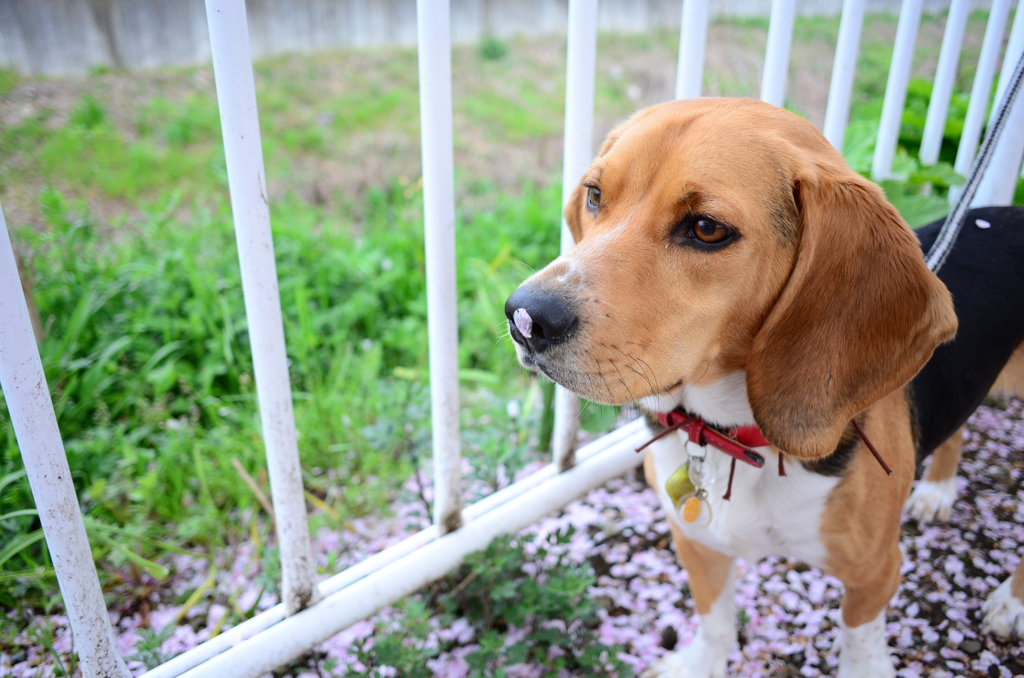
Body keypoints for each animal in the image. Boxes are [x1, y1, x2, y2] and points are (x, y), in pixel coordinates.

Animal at [505, 96, 1024, 678]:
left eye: (707, 228)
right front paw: (699, 665)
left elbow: (859, 646)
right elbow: (715, 622)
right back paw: (936, 491)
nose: (524, 317)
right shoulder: (698, 544)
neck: (733, 436)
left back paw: (1010, 602)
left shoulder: (876, 573)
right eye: (595, 194)